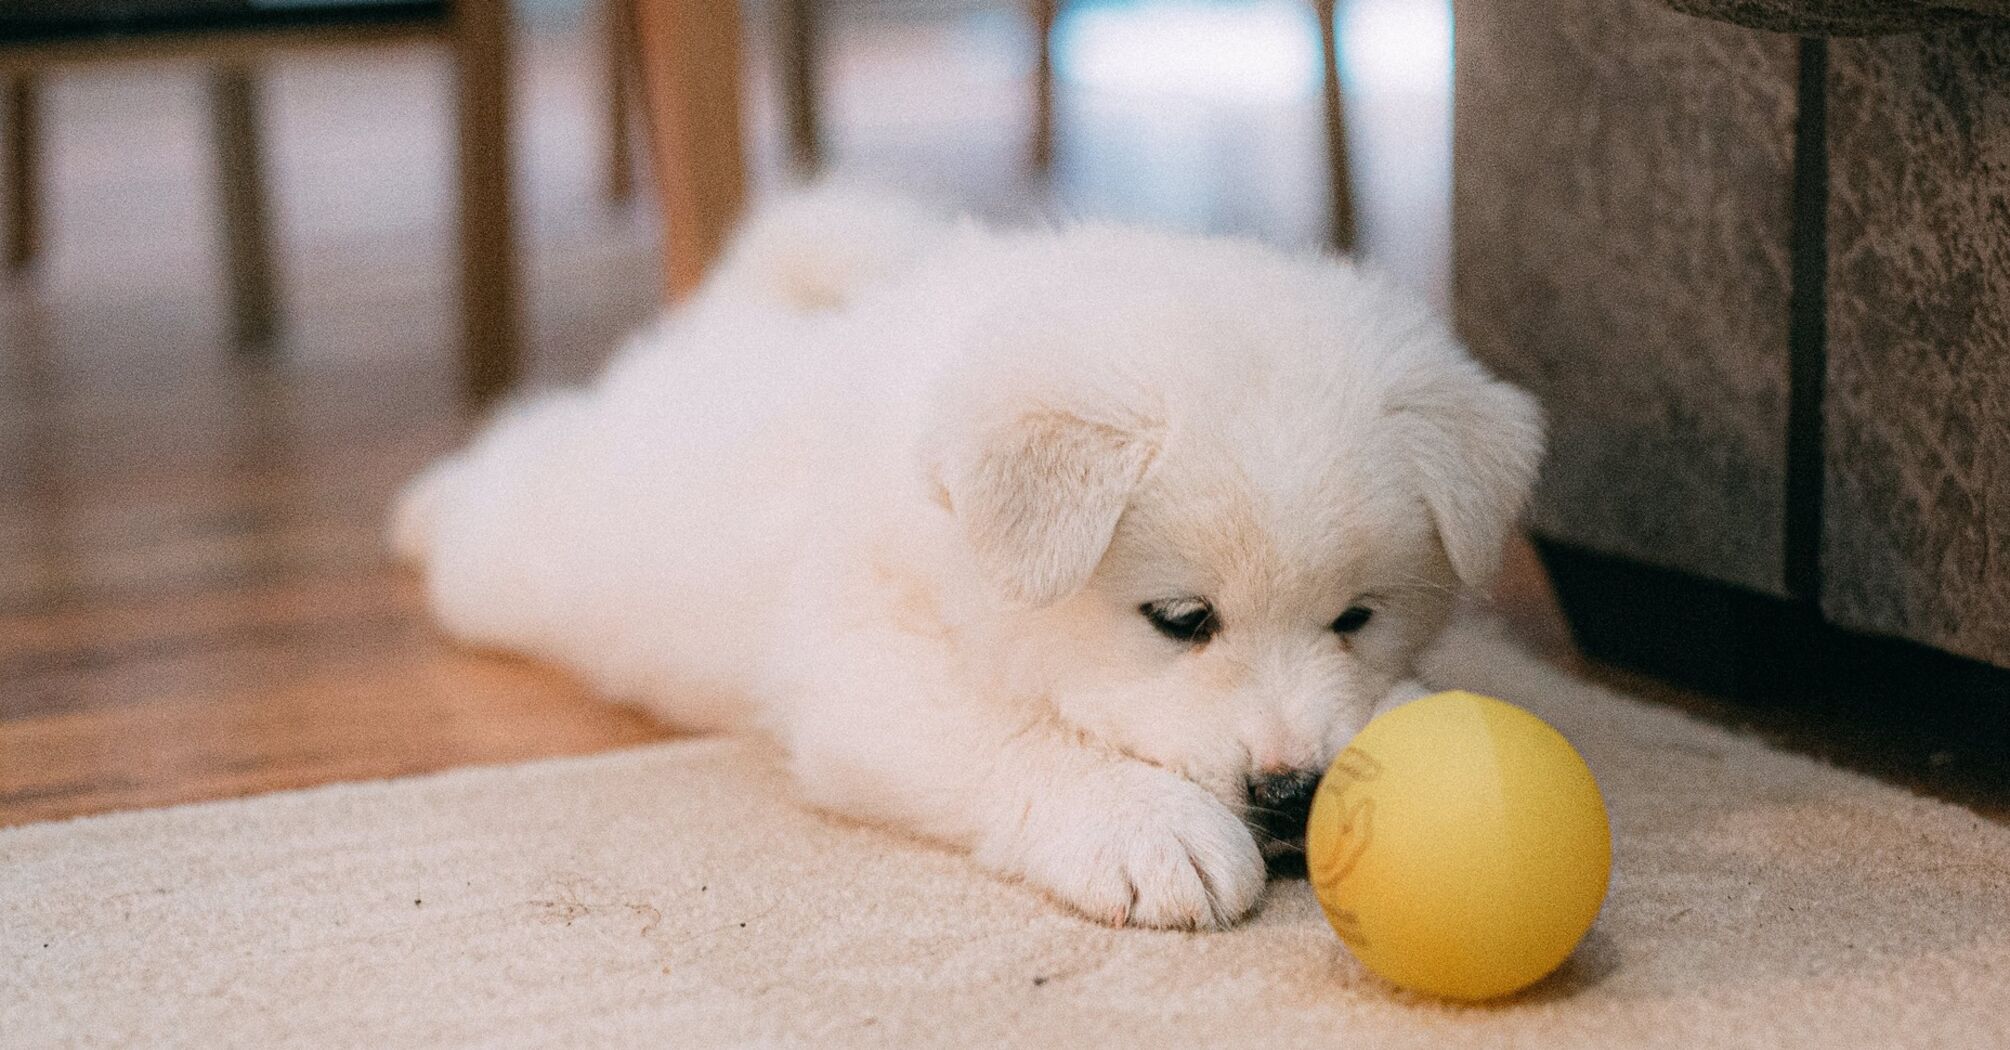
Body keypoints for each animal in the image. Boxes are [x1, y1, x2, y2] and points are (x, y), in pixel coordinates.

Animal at [395, 188, 1551, 925]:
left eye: (1357, 617)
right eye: (1181, 620)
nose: (1291, 792)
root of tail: (724, 323)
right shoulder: (865, 667)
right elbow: (1012, 735)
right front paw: (1149, 830)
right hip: (532, 554)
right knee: (502, 471)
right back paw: (422, 505)